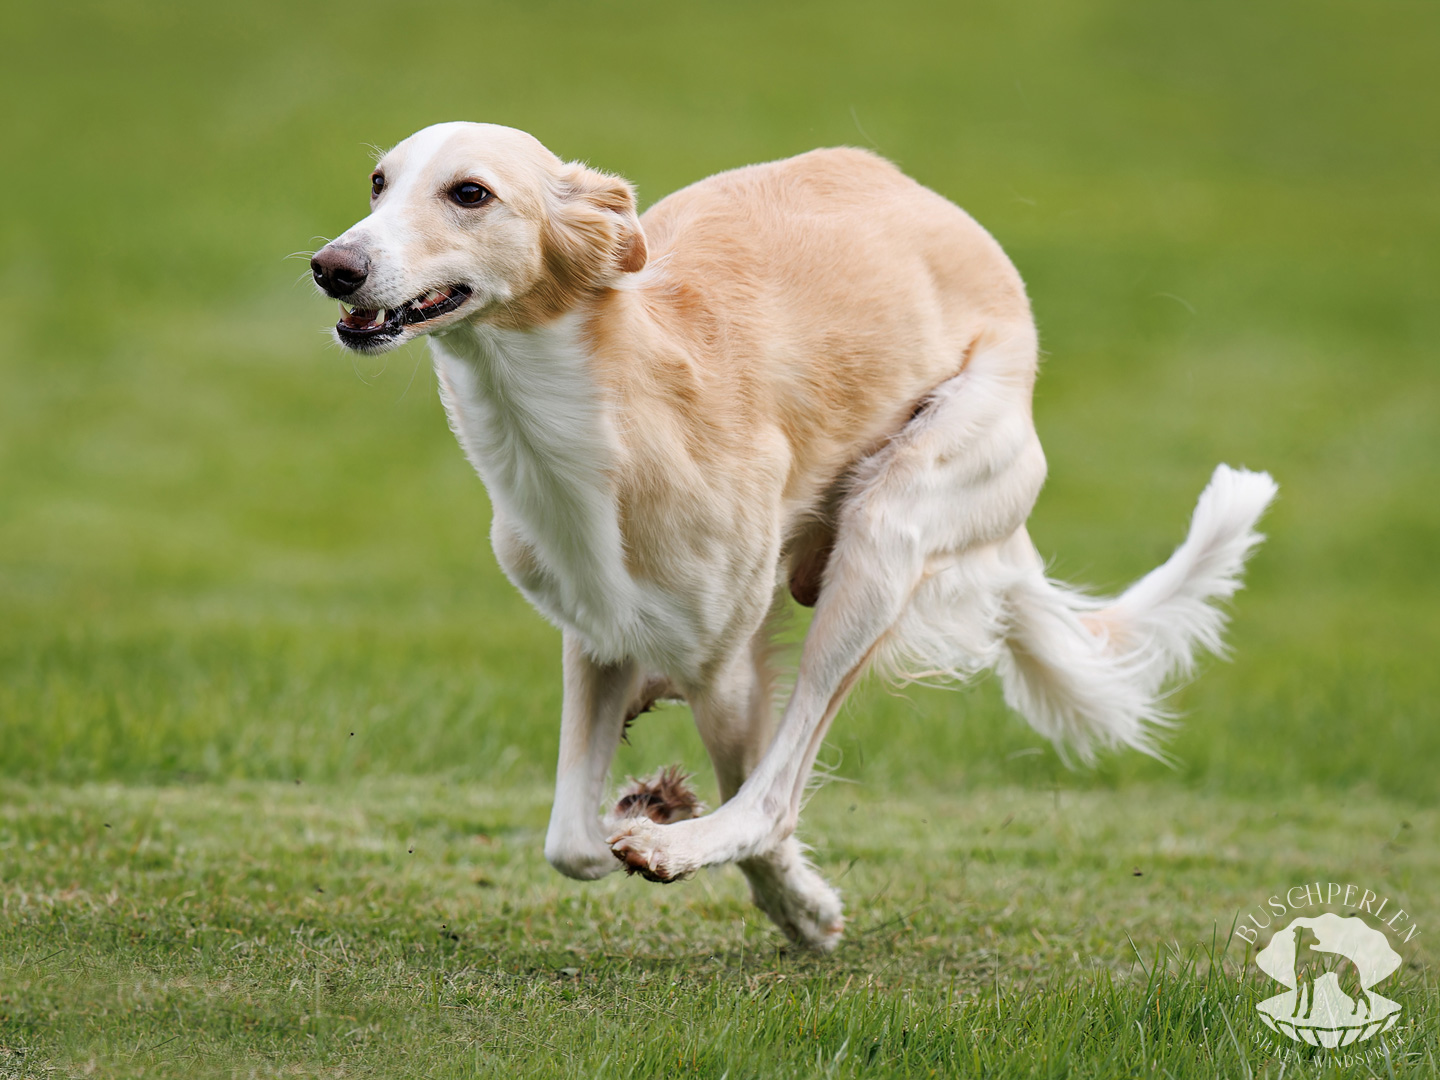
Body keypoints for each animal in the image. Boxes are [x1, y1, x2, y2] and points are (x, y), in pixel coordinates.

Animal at [310, 122, 1276, 950]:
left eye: (470, 193)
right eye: (379, 181)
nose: (331, 268)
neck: (605, 407)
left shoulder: (726, 660)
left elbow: (752, 797)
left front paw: (793, 902)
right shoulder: (597, 628)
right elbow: (571, 843)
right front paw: (649, 803)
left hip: (893, 525)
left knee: (774, 785)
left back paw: (695, 852)